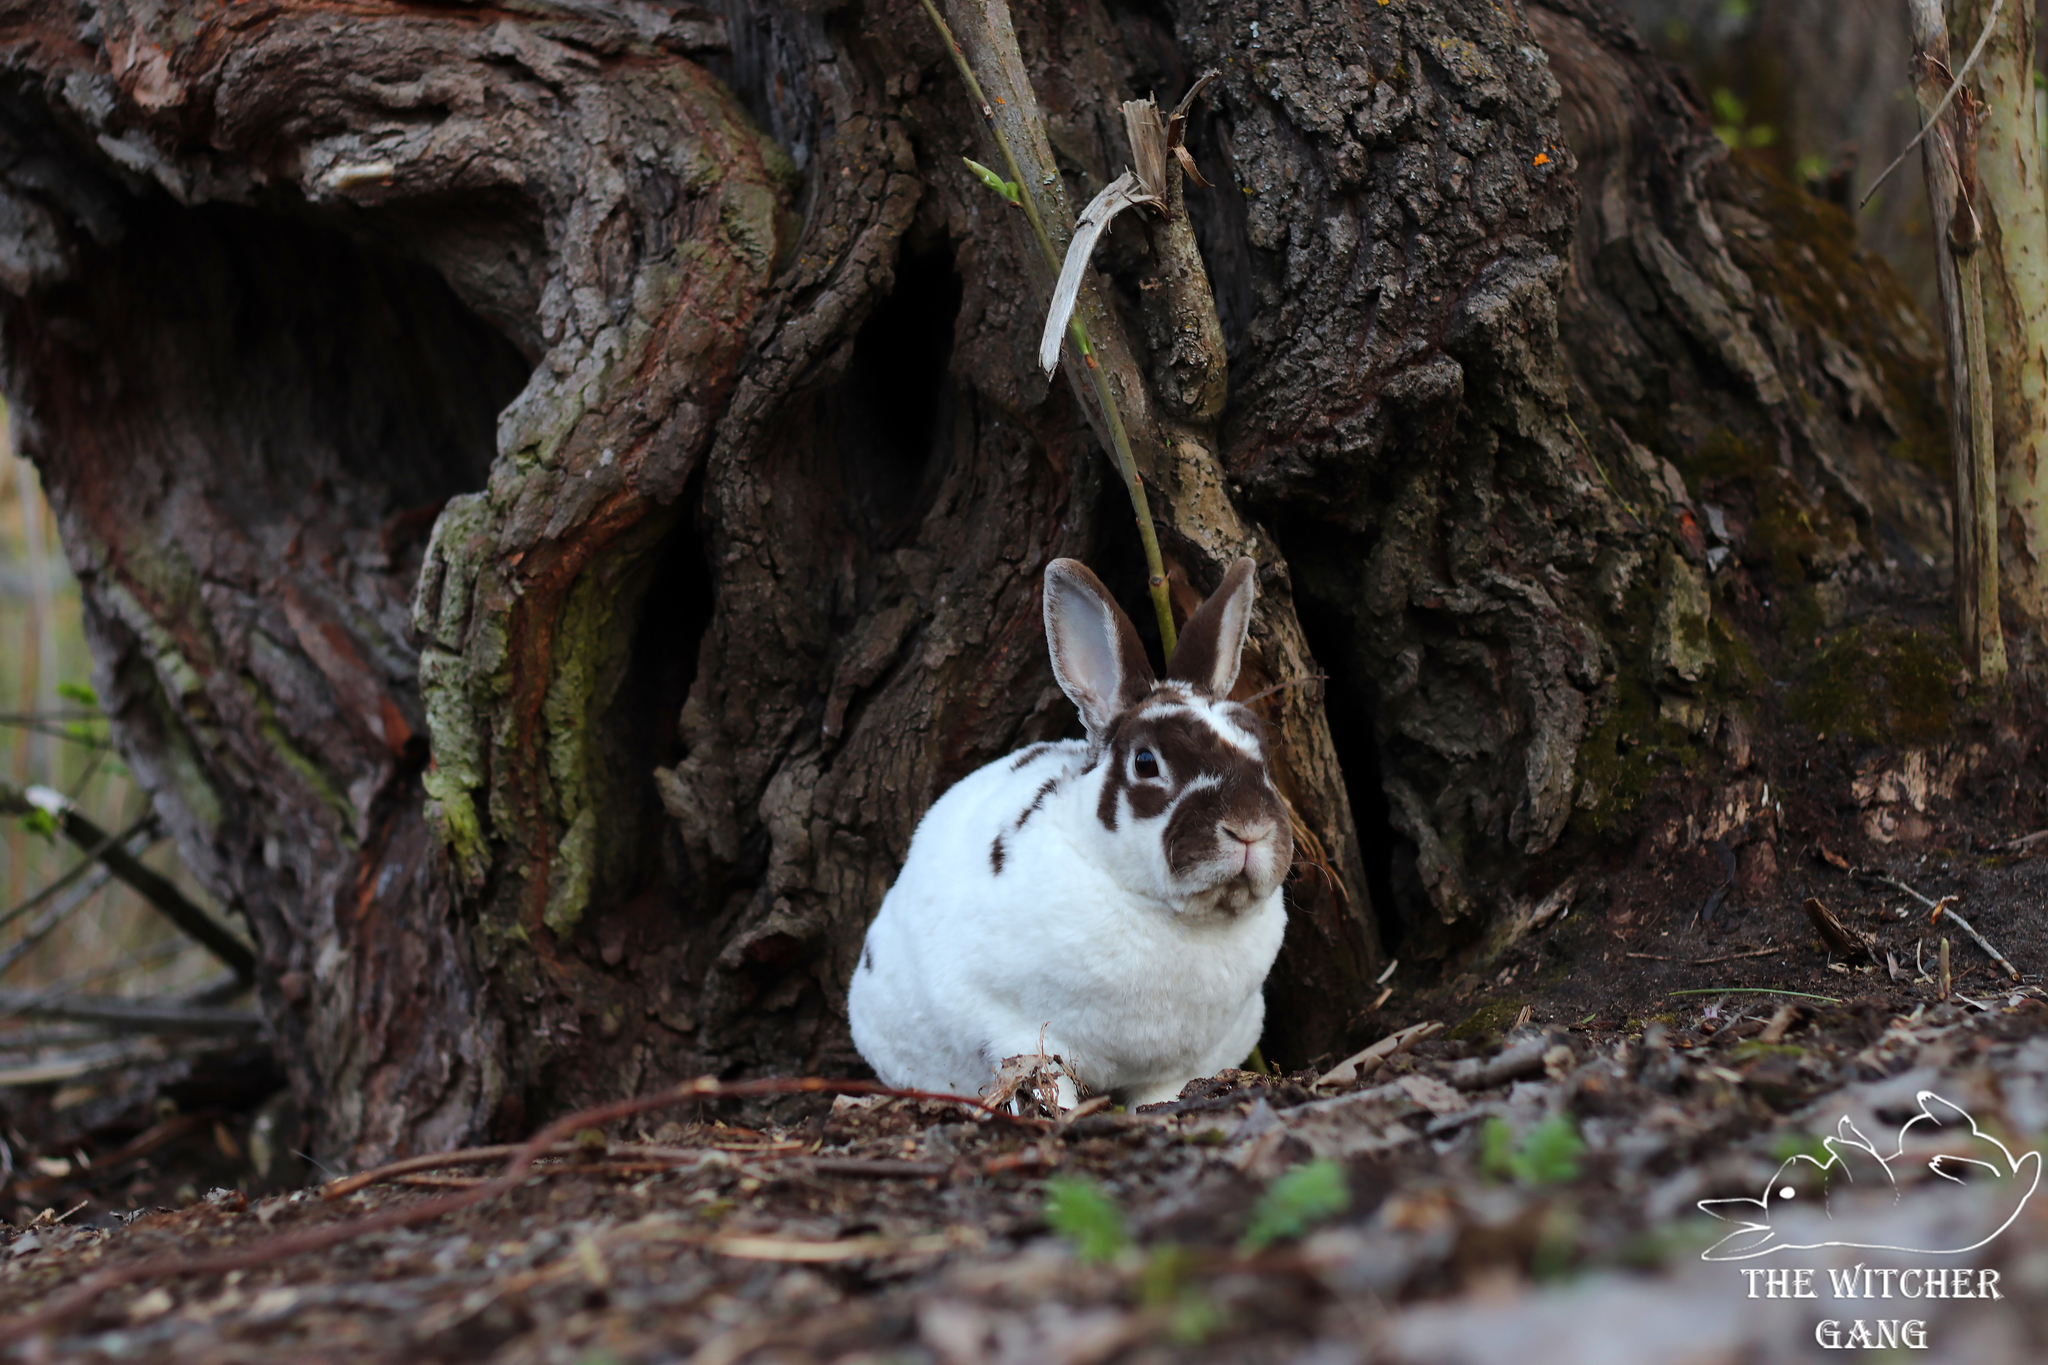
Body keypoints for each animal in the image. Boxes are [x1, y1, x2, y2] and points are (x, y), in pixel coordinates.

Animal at [839, 556, 1286, 1113]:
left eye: (1261, 750)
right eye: (1146, 762)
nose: (1249, 828)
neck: (1171, 915)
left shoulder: (1183, 1063)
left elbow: (1163, 1093)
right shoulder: (1012, 1028)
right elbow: (1048, 1084)